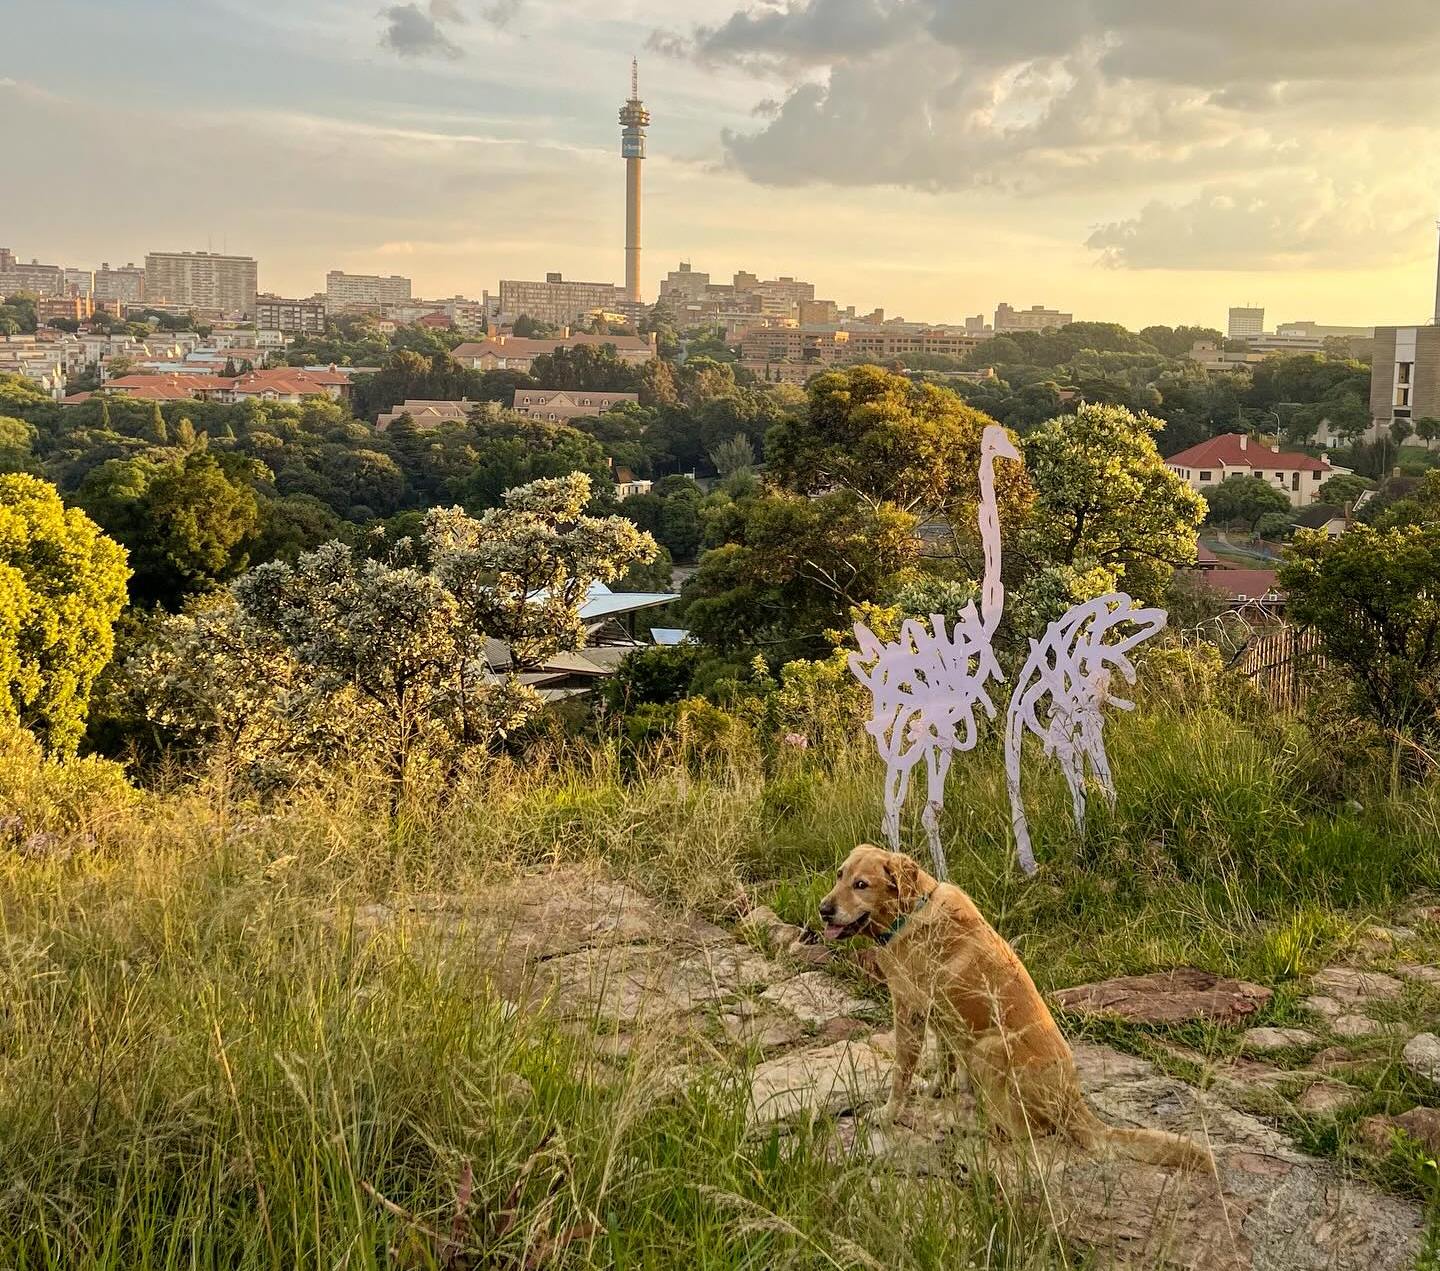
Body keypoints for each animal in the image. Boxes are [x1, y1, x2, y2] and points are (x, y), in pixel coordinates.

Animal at [817, 846, 1209, 1174]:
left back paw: (961, 1127)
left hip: (987, 1051)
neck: (909, 913)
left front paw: (888, 1113)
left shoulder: (909, 1010)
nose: (823, 910)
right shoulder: (938, 1017)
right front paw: (936, 1091)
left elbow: (902, 1073)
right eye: (839, 875)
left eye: (861, 884)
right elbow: (943, 1061)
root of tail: (1072, 1101)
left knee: (1020, 1133)